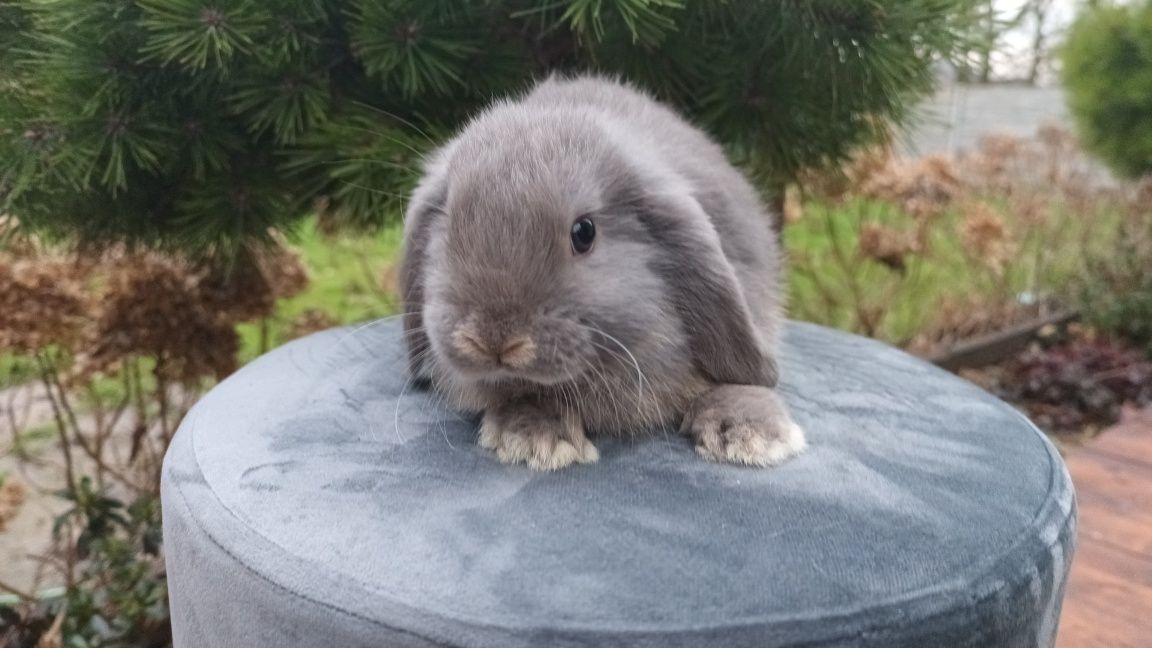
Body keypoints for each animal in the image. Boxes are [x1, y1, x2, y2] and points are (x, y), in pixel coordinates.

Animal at [400, 75, 806, 468]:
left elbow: (738, 383)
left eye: (584, 232)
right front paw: (536, 438)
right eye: (448, 224)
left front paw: (751, 436)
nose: (492, 341)